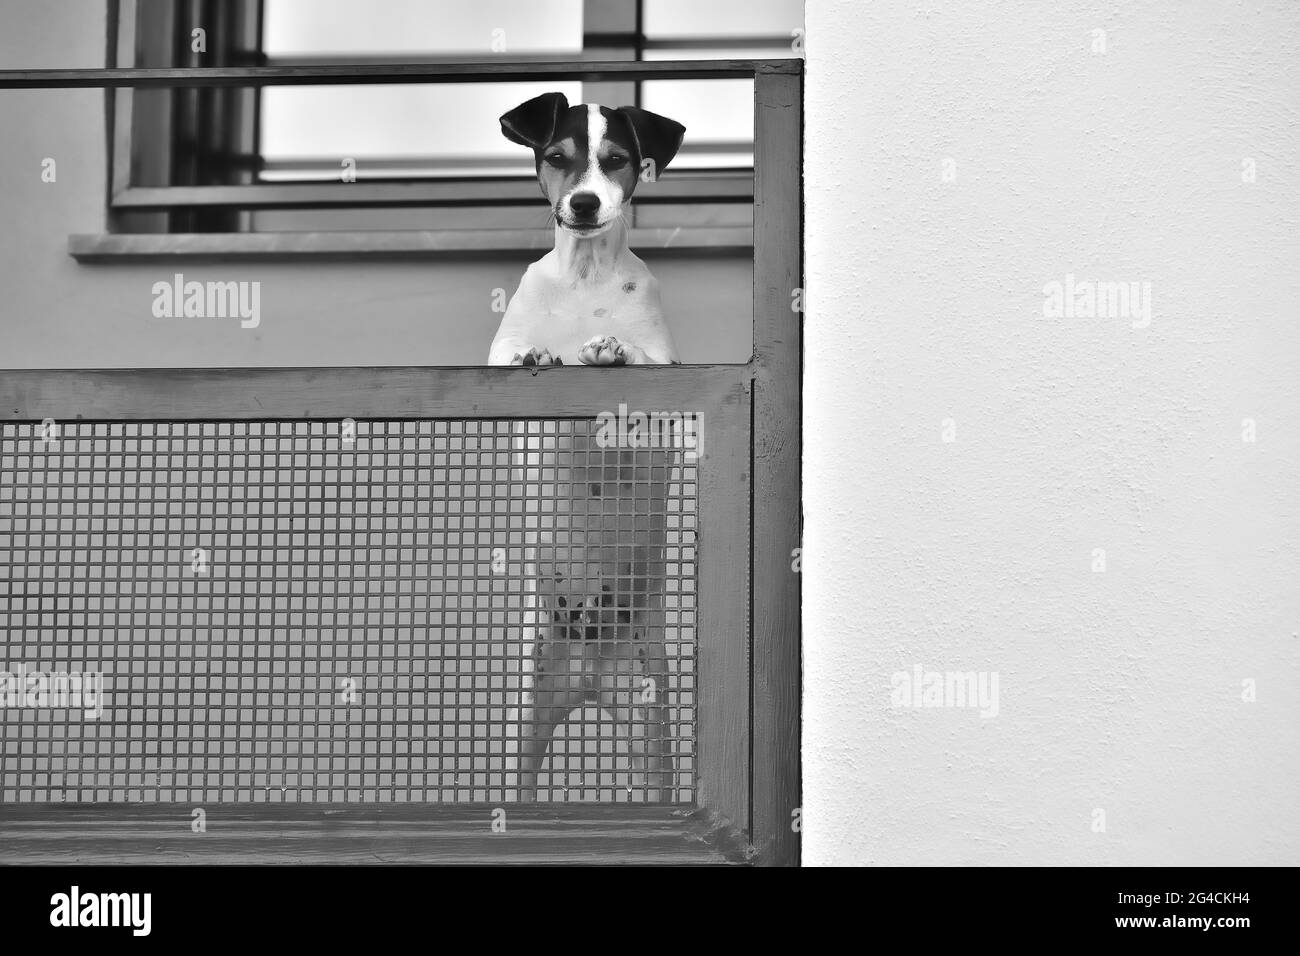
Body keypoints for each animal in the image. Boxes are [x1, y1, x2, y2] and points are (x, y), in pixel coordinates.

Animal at [488, 93, 691, 806]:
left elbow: (638, 371)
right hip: (522, 726)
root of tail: (587, 677)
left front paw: (610, 348)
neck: (584, 280)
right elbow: (523, 364)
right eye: (557, 158)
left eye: (617, 160)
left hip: (649, 726)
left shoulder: (666, 411)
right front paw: (539, 353)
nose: (582, 203)